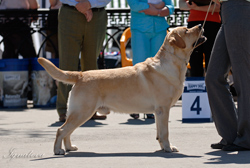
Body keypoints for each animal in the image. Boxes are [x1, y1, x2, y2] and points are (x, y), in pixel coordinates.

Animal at [38, 25, 207, 155]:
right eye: (186, 30)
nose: (200, 25)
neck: (172, 62)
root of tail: (80, 75)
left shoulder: (158, 112)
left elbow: (159, 133)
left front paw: (162, 147)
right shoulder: (163, 109)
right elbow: (165, 132)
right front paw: (168, 148)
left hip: (80, 113)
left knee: (67, 131)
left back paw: (69, 147)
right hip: (82, 112)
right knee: (61, 130)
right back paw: (58, 150)